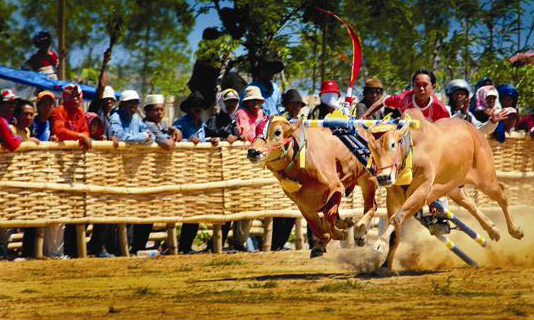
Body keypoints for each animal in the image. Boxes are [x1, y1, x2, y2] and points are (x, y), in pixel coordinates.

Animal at [248, 117, 378, 258]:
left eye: (277, 132)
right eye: (255, 130)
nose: (252, 152)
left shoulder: (336, 188)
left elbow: (328, 221)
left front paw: (341, 234)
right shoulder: (304, 206)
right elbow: (318, 229)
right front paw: (321, 245)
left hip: (368, 179)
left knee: (371, 207)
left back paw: (360, 233)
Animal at [366, 109, 524, 272]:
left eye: (392, 144)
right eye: (371, 148)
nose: (383, 178)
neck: (412, 152)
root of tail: (475, 130)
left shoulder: (422, 192)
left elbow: (397, 218)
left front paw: (380, 243)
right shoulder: (393, 197)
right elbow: (395, 233)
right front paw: (385, 264)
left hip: (486, 180)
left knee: (502, 198)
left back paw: (515, 230)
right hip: (454, 187)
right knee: (470, 204)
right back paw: (493, 230)